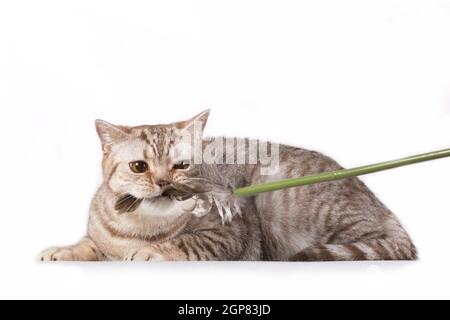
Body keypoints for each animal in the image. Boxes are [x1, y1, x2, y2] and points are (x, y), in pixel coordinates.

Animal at [39, 110, 418, 260]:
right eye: (138, 167)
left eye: (181, 166)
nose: (163, 182)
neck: (141, 226)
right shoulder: (99, 234)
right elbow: (88, 243)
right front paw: (63, 250)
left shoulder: (227, 234)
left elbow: (183, 243)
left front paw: (150, 251)